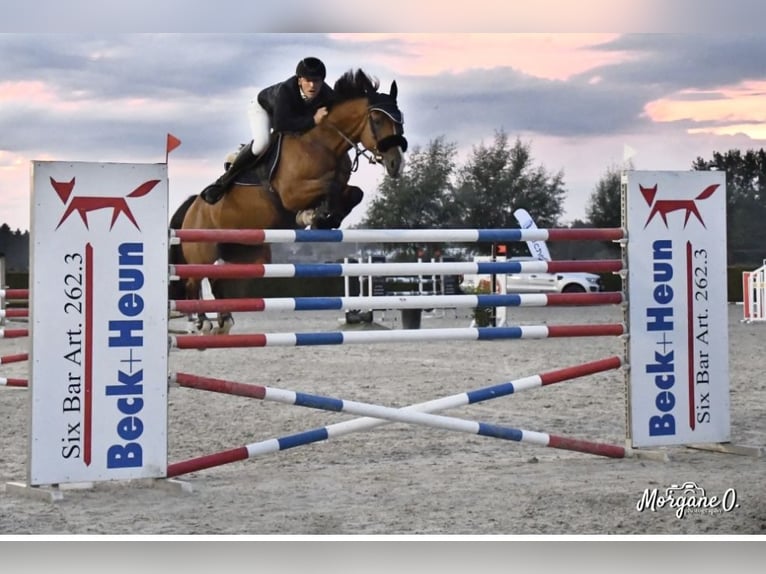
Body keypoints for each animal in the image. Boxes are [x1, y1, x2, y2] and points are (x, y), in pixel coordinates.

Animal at [168, 69, 408, 336]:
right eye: (376, 119)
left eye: (400, 119)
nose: (396, 164)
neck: (324, 143)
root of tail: (192, 206)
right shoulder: (291, 193)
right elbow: (330, 187)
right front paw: (314, 216)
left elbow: (355, 193)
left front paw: (325, 218)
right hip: (202, 249)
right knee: (193, 280)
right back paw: (203, 321)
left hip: (247, 255)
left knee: (217, 279)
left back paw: (224, 319)